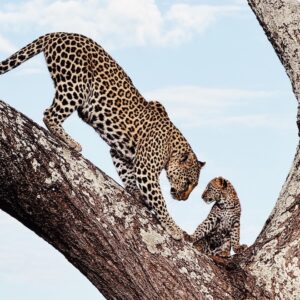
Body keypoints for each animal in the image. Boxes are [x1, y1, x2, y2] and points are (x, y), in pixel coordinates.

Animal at [0, 32, 206, 239]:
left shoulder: (120, 153)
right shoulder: (145, 169)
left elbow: (127, 175)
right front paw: (174, 228)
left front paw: (136, 193)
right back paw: (71, 142)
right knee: (49, 114)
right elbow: (159, 201)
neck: (171, 147)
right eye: (188, 182)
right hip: (75, 85)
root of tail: (60, 33)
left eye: (194, 185)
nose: (183, 199)